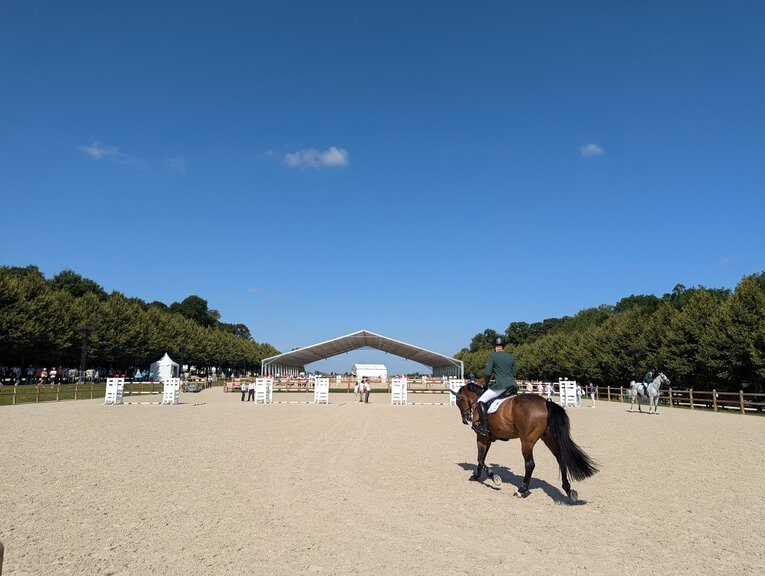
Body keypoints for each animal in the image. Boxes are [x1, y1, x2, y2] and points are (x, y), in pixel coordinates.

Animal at [452, 383, 598, 502]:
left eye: (458, 400)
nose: (465, 420)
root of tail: (545, 403)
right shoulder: (488, 439)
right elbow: (481, 459)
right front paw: (476, 476)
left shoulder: (481, 437)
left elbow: (480, 459)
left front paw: (494, 478)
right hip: (549, 439)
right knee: (561, 460)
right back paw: (568, 490)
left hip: (527, 442)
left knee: (530, 464)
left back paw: (521, 490)